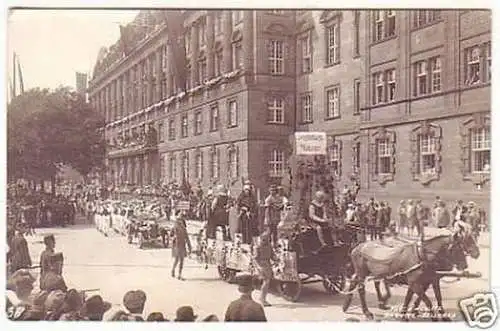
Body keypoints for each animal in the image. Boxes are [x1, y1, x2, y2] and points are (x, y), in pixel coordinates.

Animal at [342, 222, 478, 320]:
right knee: (361, 289)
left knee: (356, 281)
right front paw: (432, 317)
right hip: (362, 273)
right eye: (456, 248)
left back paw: (347, 304)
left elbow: (430, 297)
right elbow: (427, 301)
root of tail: (357, 247)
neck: (423, 256)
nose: (464, 265)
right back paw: (367, 311)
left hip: (368, 273)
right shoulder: (416, 283)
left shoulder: (429, 280)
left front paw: (405, 313)